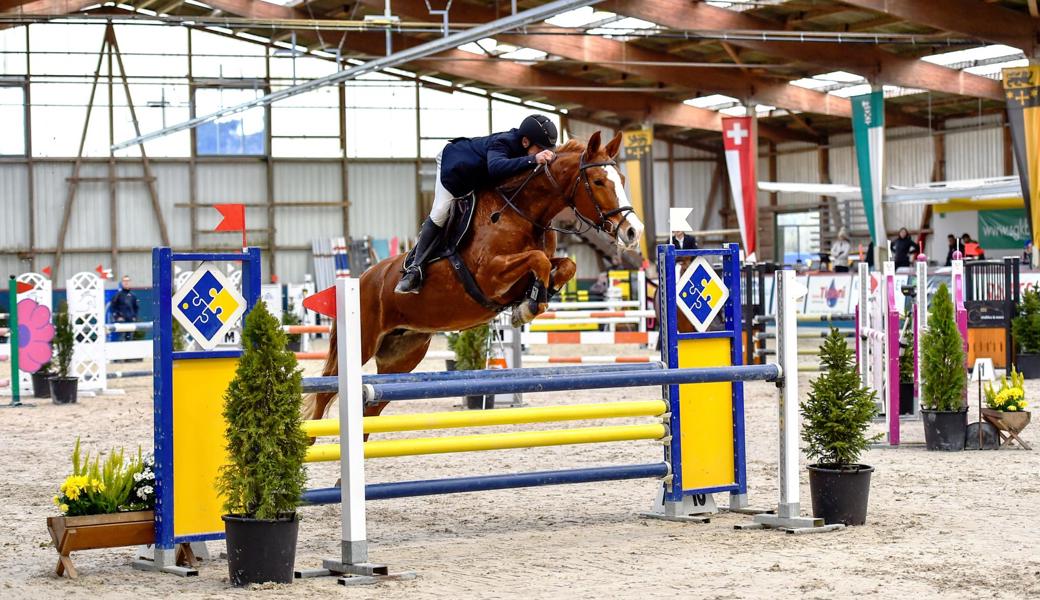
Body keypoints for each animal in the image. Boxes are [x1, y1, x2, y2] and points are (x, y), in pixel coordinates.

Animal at [301, 131, 640, 420]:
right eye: (598, 181)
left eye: (622, 179)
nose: (633, 232)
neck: (522, 211)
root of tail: (362, 279)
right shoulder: (490, 275)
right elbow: (539, 260)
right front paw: (529, 306)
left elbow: (564, 265)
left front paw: (535, 298)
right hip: (363, 342)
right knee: (324, 393)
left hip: (401, 355)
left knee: (371, 408)